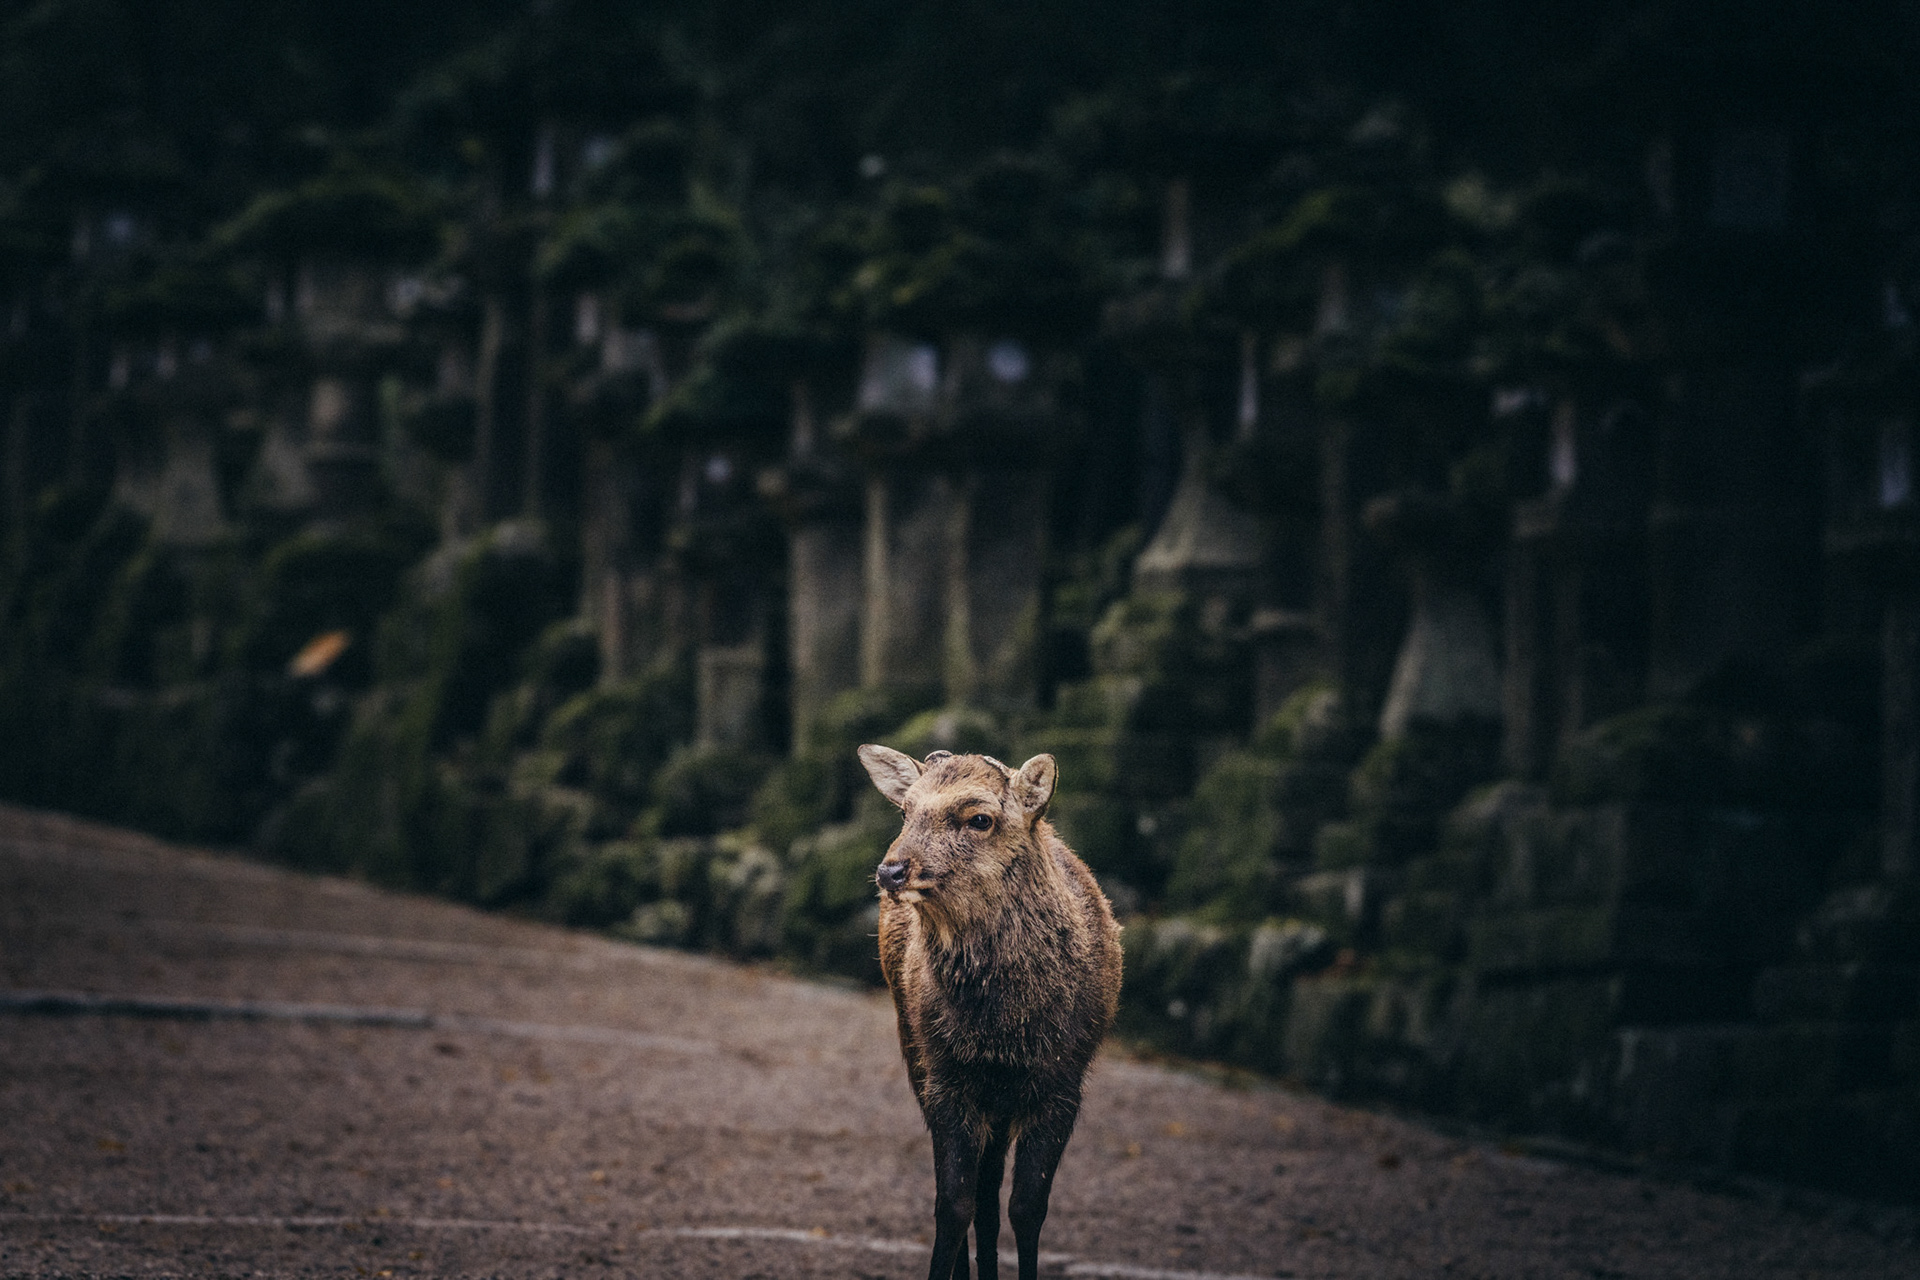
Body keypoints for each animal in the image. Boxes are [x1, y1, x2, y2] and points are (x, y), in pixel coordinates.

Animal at [858, 744, 1123, 1280]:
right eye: (906, 810)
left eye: (980, 818)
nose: (891, 872)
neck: (1002, 1034)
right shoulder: (946, 1080)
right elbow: (952, 1204)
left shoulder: (1062, 1084)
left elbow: (1027, 1208)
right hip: (915, 1048)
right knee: (979, 1194)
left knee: (990, 1191)